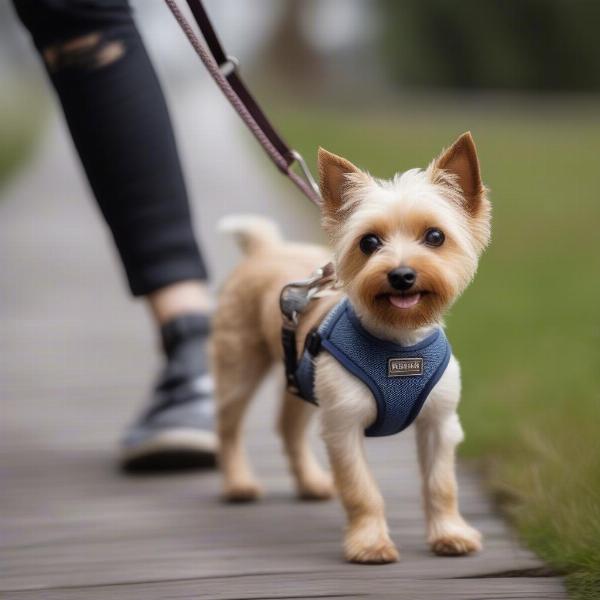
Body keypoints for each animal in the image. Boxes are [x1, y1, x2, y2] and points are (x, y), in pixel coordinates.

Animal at [213, 131, 490, 564]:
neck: (398, 344)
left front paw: (450, 534)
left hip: (300, 376)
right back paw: (238, 482)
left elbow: (441, 484)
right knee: (228, 424)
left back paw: (310, 482)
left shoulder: (439, 424)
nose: (402, 275)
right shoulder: (344, 426)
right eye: (369, 242)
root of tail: (265, 248)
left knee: (288, 427)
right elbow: (362, 490)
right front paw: (370, 544)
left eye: (435, 236)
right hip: (240, 366)